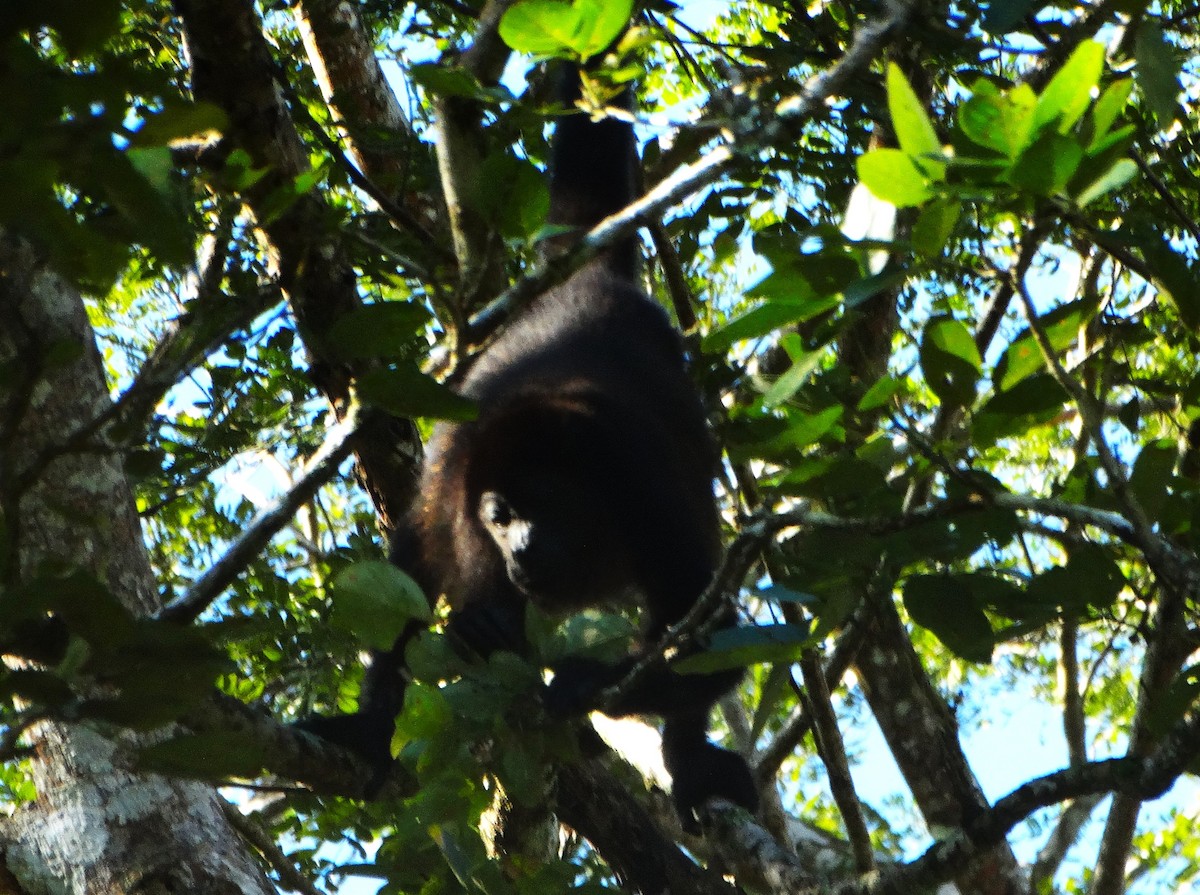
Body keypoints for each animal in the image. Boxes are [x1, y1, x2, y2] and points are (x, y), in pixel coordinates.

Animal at [304, 60, 759, 826]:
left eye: (542, 506)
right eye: (500, 515)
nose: (517, 547)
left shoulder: (647, 486)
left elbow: (714, 630)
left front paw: (581, 682)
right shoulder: (461, 482)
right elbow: (418, 571)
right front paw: (465, 647)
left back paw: (690, 759)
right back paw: (374, 728)